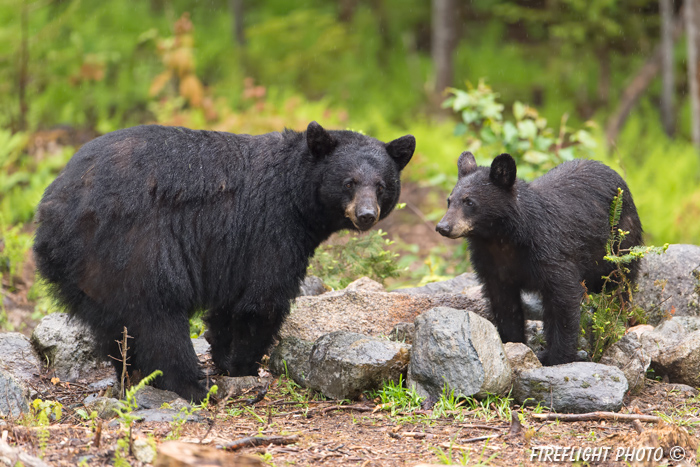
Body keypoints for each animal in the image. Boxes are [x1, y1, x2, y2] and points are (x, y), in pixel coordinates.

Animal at [34, 122, 416, 400]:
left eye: (381, 185)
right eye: (349, 182)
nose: (366, 215)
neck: (295, 194)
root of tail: (53, 208)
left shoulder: (230, 251)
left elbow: (227, 305)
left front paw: (223, 356)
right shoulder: (270, 228)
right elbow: (263, 300)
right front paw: (243, 368)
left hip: (88, 272)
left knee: (115, 327)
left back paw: (132, 375)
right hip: (134, 247)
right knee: (159, 320)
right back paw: (193, 385)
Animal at [434, 154, 644, 366]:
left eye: (469, 202)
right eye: (449, 200)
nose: (443, 227)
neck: (502, 240)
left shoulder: (552, 252)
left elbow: (563, 300)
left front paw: (557, 357)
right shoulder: (491, 265)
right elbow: (505, 306)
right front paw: (513, 343)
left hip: (620, 244)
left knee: (619, 289)